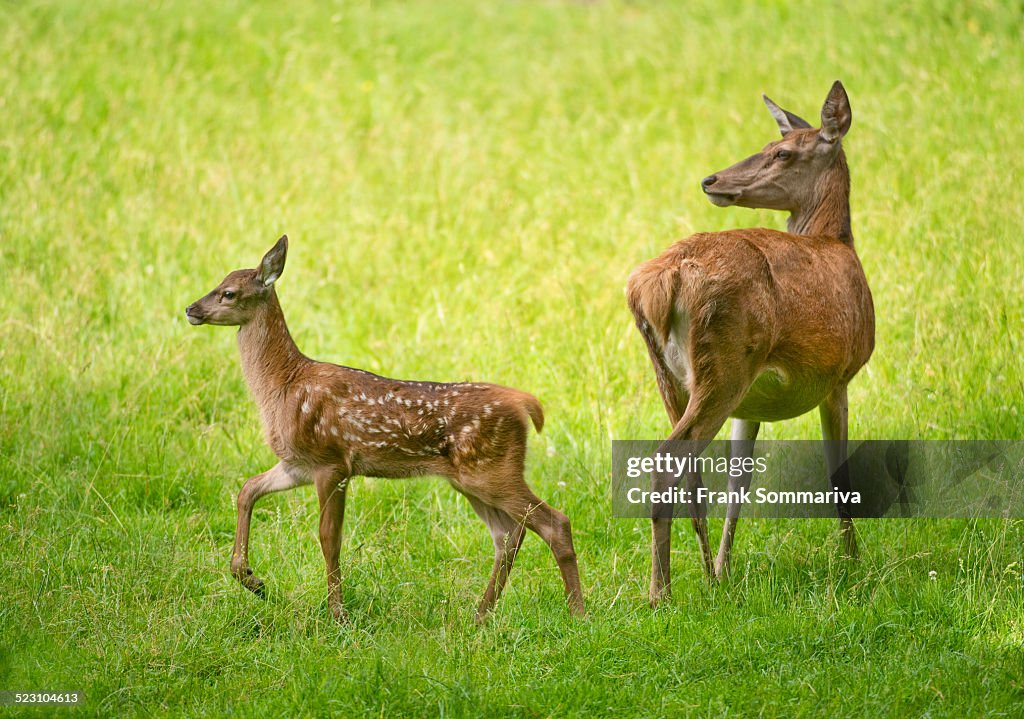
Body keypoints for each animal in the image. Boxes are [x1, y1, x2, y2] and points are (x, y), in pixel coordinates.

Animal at [186, 237, 585, 626]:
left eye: (229, 293)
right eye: (219, 283)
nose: (191, 309)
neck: (284, 385)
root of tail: (525, 403)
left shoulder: (332, 462)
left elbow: (329, 538)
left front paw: (338, 616)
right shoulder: (297, 463)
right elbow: (248, 490)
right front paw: (251, 579)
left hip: (492, 470)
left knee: (554, 523)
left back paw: (577, 613)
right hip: (472, 478)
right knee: (508, 535)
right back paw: (480, 616)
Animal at [626, 81, 876, 606]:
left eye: (780, 151)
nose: (711, 180)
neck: (839, 244)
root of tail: (657, 282)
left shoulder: (753, 405)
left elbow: (738, 483)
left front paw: (724, 568)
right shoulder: (839, 375)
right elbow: (839, 474)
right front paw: (853, 562)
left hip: (673, 376)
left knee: (693, 476)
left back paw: (704, 575)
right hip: (725, 366)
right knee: (666, 460)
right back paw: (661, 593)